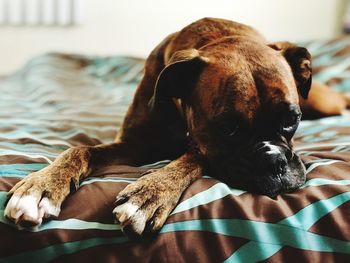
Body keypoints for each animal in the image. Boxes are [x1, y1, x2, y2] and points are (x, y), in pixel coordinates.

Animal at [3, 18, 348, 237]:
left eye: (291, 119)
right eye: (228, 128)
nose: (274, 160)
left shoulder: (197, 147)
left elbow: (193, 156)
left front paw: (151, 194)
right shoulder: (135, 145)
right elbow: (80, 149)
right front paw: (42, 185)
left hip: (323, 101)